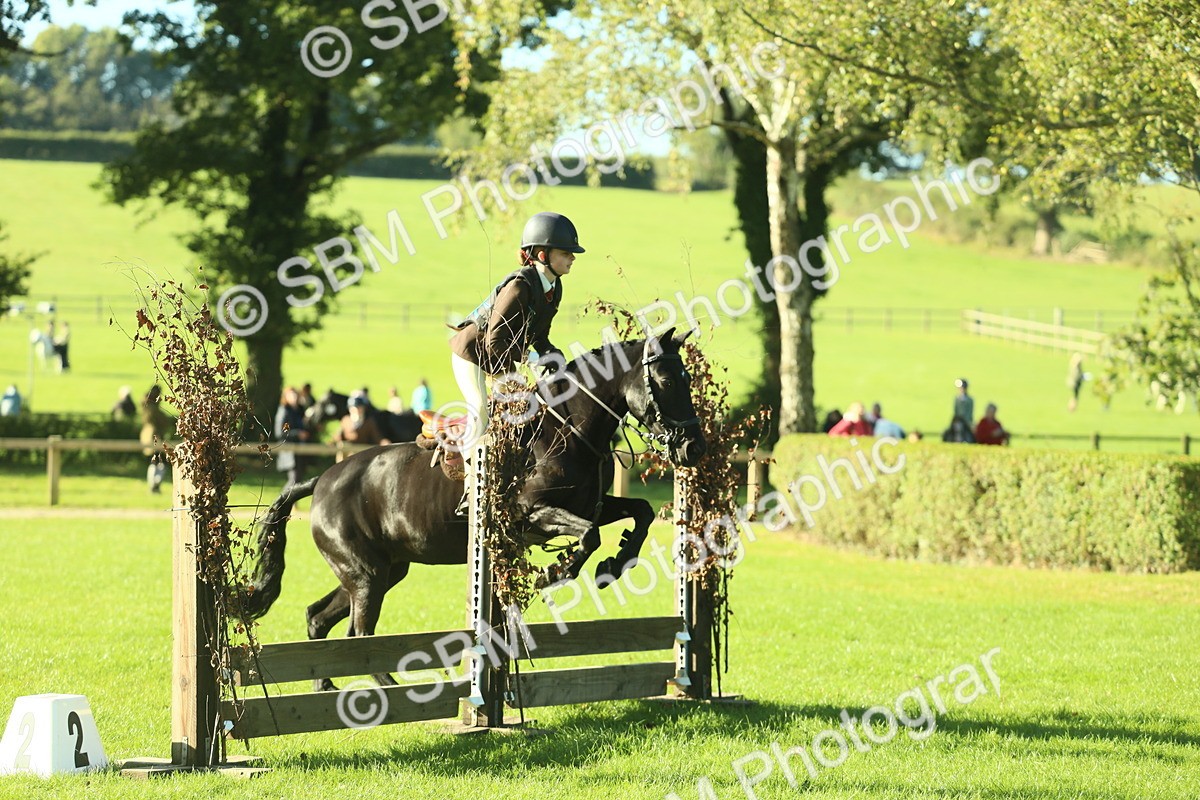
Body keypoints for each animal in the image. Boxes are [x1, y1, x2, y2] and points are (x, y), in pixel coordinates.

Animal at [242, 328, 707, 691]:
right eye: (666, 380)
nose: (693, 448)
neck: (568, 428)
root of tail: (322, 480)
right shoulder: (530, 513)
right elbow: (588, 536)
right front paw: (554, 574)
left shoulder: (590, 504)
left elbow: (639, 512)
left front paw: (616, 563)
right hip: (365, 573)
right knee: (359, 632)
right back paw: (387, 689)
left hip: (383, 570)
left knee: (319, 617)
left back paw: (324, 684)